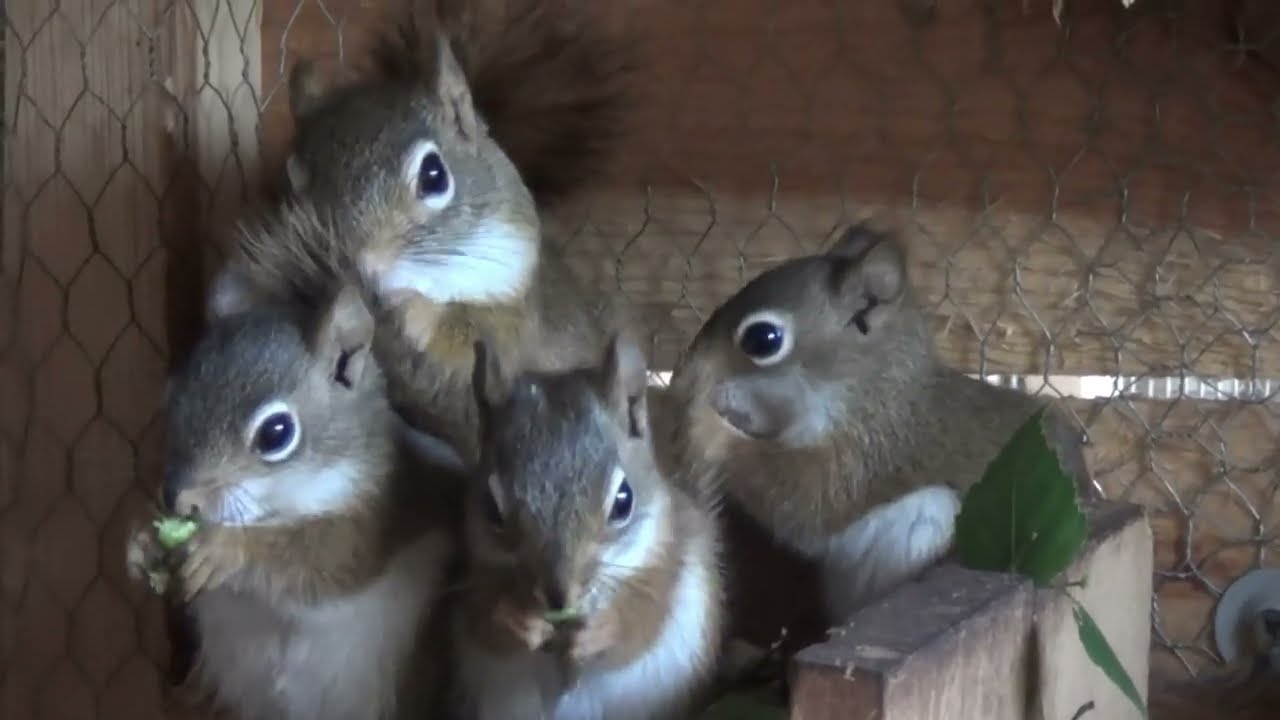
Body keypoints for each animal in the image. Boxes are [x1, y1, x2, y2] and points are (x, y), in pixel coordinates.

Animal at [126, 281, 462, 720]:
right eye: (171, 400)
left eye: (276, 433)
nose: (177, 497)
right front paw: (139, 540)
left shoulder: (376, 517)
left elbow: (318, 559)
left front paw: (227, 548)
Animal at [250, 0, 633, 466]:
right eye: (293, 181)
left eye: (434, 175)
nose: (359, 262)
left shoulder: (512, 317)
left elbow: (468, 340)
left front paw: (411, 307)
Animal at [449, 332, 724, 720]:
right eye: (490, 507)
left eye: (624, 500)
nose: (557, 595)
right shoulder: (476, 574)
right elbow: (483, 623)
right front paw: (519, 620)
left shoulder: (663, 572)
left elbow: (641, 625)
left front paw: (601, 629)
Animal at [658, 220, 1103, 625]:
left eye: (763, 339)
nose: (683, 373)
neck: (870, 392)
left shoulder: (870, 453)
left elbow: (802, 501)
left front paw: (703, 421)